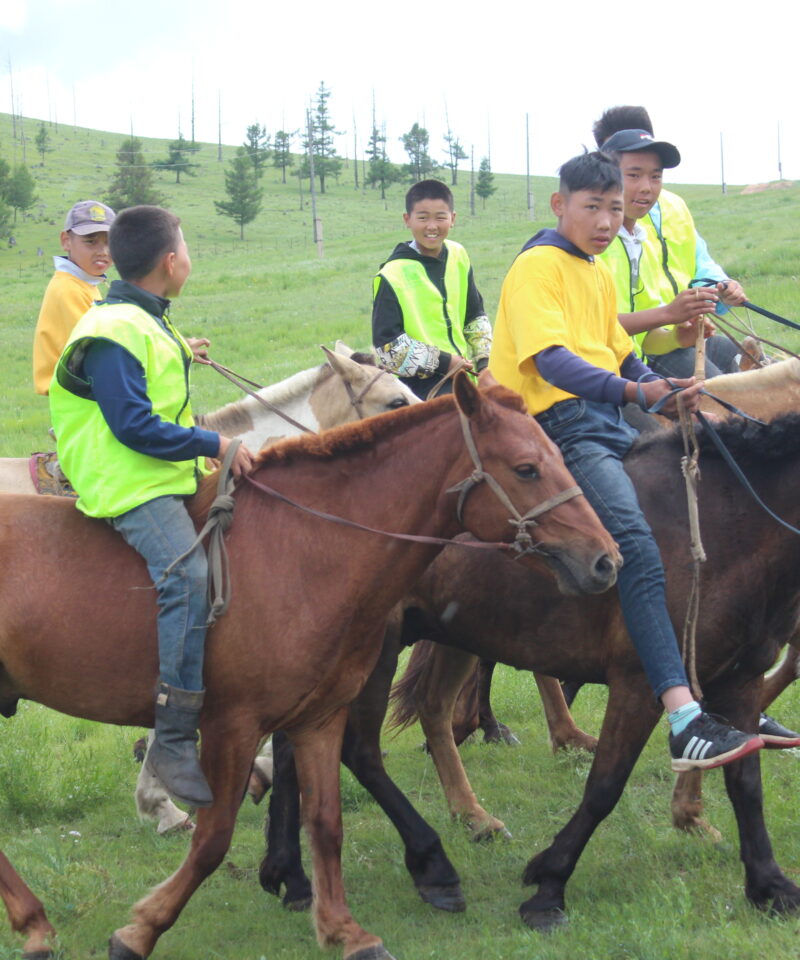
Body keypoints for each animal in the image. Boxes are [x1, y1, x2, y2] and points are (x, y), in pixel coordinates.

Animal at [0, 378, 620, 960]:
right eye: (526, 468)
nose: (605, 560)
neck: (305, 549)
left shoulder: (318, 717)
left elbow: (325, 823)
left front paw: (343, 929)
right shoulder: (232, 727)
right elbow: (213, 840)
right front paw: (141, 930)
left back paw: (34, 924)